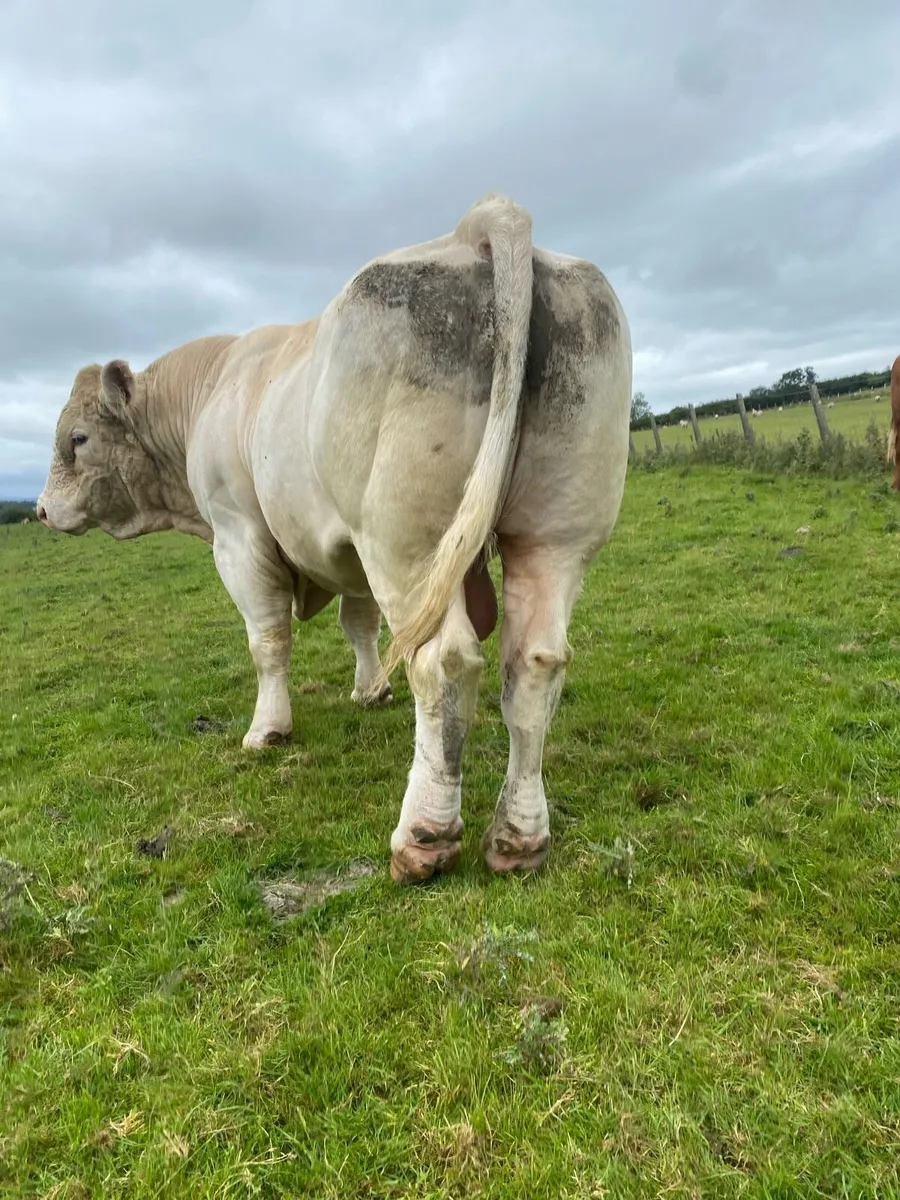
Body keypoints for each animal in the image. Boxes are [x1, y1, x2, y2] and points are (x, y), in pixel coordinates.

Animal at [37, 192, 632, 883]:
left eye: (77, 439)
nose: (42, 510)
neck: (213, 391)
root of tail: (479, 226)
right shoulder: (350, 552)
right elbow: (361, 623)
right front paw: (370, 690)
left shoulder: (239, 537)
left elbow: (267, 640)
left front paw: (267, 730)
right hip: (555, 534)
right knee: (535, 664)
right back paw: (519, 837)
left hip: (405, 540)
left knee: (445, 662)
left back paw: (425, 836)